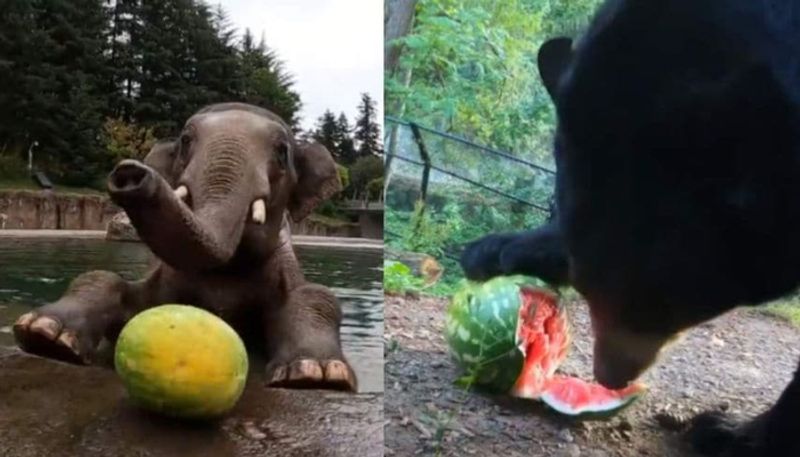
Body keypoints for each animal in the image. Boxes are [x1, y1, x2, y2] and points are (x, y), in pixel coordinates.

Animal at [11, 101, 356, 390]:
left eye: (282, 151)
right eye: (186, 141)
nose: (130, 171)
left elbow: (315, 296)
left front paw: (317, 373)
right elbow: (104, 279)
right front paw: (44, 332)